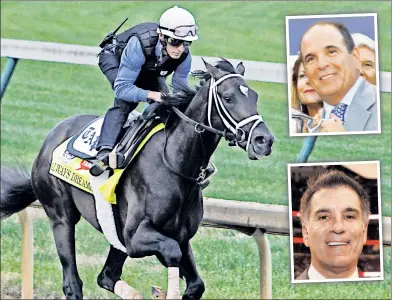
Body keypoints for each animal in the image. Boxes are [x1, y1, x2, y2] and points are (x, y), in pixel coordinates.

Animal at [0, 59, 272, 298]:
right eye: (228, 97)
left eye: (255, 96)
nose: (264, 140)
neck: (174, 164)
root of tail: (49, 140)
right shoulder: (135, 237)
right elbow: (172, 253)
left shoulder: (180, 236)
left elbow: (195, 284)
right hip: (61, 216)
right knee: (72, 282)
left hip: (113, 232)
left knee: (106, 277)